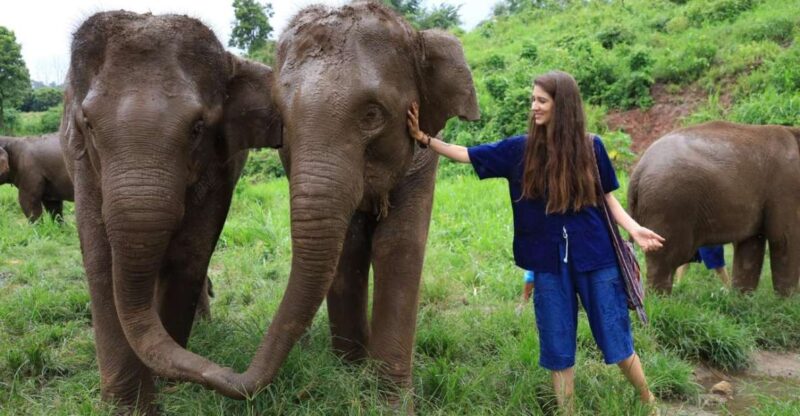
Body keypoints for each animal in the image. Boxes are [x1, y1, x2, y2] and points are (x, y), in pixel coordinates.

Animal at [60, 11, 281, 414]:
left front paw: (166, 386)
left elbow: (188, 257)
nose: (230, 373)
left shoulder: (219, 167)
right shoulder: (81, 162)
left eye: (197, 128)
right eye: (90, 126)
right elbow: (101, 263)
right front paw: (128, 406)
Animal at [201, 1, 480, 405]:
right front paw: (348, 374)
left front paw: (391, 402)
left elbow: (397, 245)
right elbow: (347, 249)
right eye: (282, 122)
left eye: (372, 115)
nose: (213, 372)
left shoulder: (423, 159)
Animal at [628, 121, 800, 296]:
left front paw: (742, 297)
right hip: (668, 205)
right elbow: (783, 239)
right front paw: (788, 299)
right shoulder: (785, 185)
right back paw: (661, 298)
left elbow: (751, 243)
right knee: (666, 258)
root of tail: (638, 170)